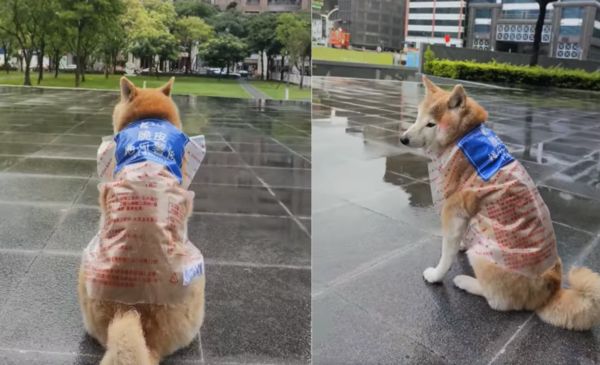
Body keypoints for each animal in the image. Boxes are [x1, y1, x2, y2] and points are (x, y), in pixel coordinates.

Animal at [400, 76, 600, 330]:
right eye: (418, 117)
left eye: (431, 124)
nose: (403, 139)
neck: (462, 137)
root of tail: (550, 292)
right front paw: (463, 243)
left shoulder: (453, 210)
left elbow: (446, 254)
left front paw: (436, 275)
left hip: (486, 259)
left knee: (498, 301)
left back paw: (465, 281)